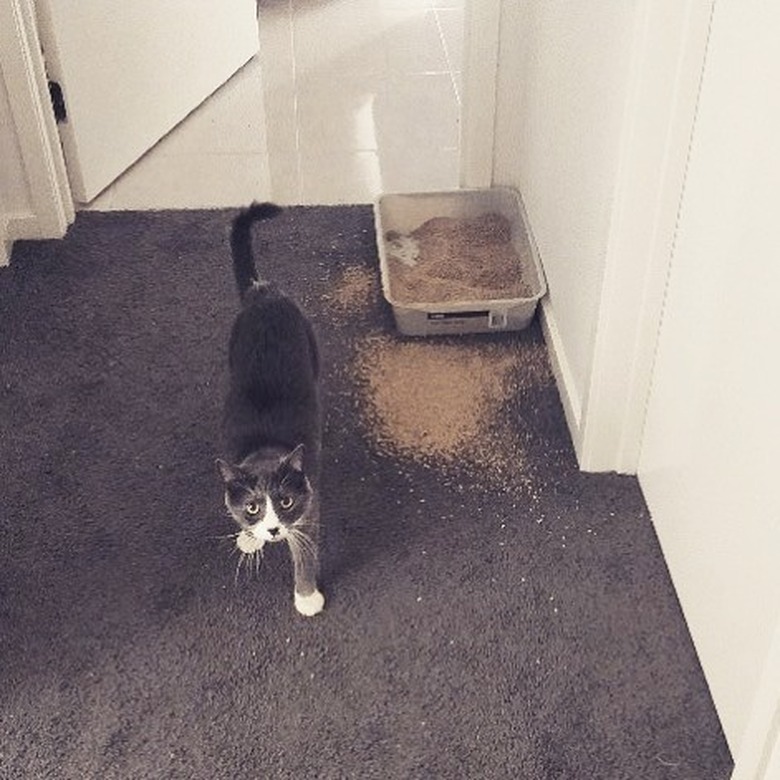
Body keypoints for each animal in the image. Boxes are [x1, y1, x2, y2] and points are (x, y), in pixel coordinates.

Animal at [215, 201, 324, 616]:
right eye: (251, 508)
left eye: (286, 501)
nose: (274, 529)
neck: (263, 451)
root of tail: (262, 291)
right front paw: (250, 537)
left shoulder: (310, 506)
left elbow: (305, 552)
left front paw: (307, 597)